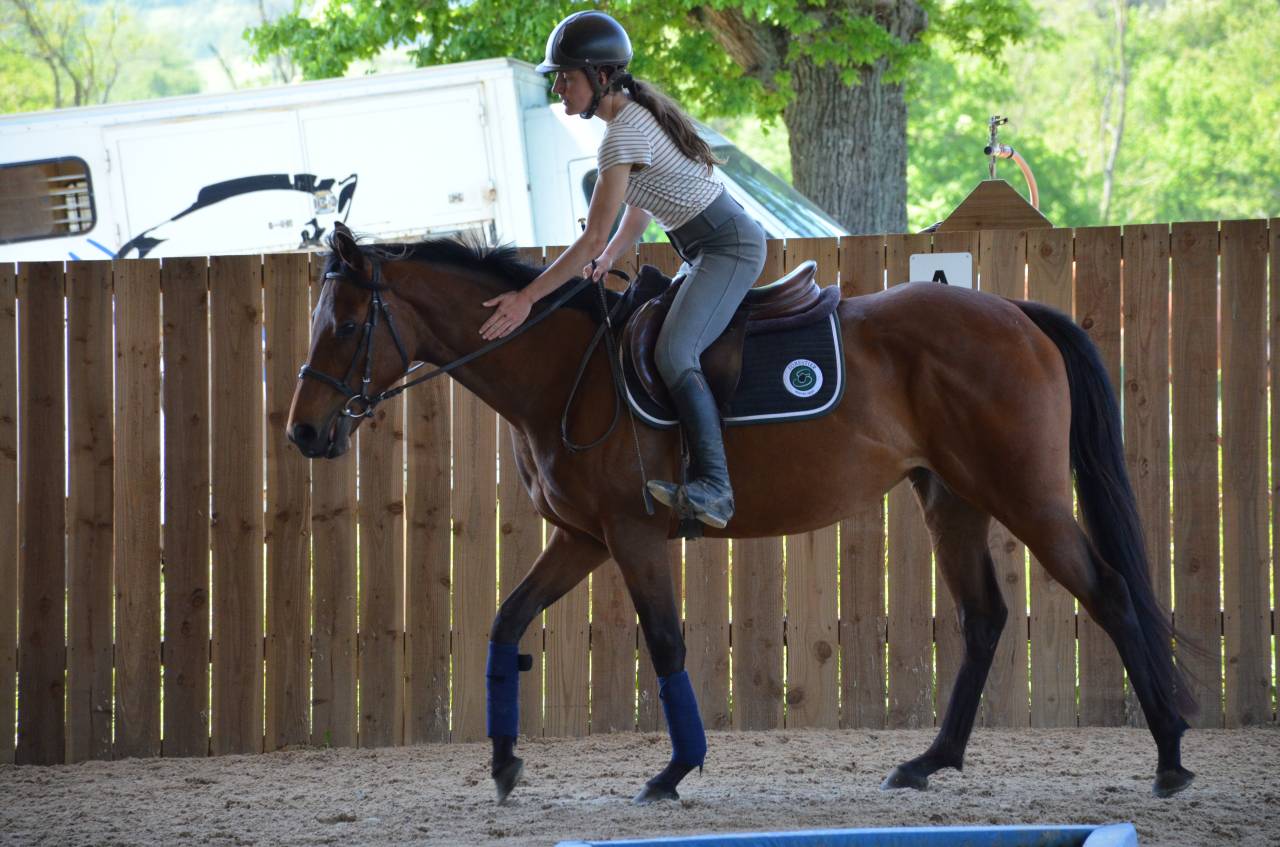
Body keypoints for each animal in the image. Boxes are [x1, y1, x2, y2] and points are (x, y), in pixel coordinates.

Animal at [286, 222, 1197, 805]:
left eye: (350, 323)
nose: (304, 432)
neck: (569, 373)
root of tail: (1016, 312)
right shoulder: (583, 537)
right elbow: (508, 623)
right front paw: (506, 762)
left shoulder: (632, 535)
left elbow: (665, 643)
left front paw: (674, 770)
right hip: (954, 498)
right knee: (983, 618)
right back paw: (930, 761)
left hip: (1026, 497)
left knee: (1110, 594)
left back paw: (1170, 757)